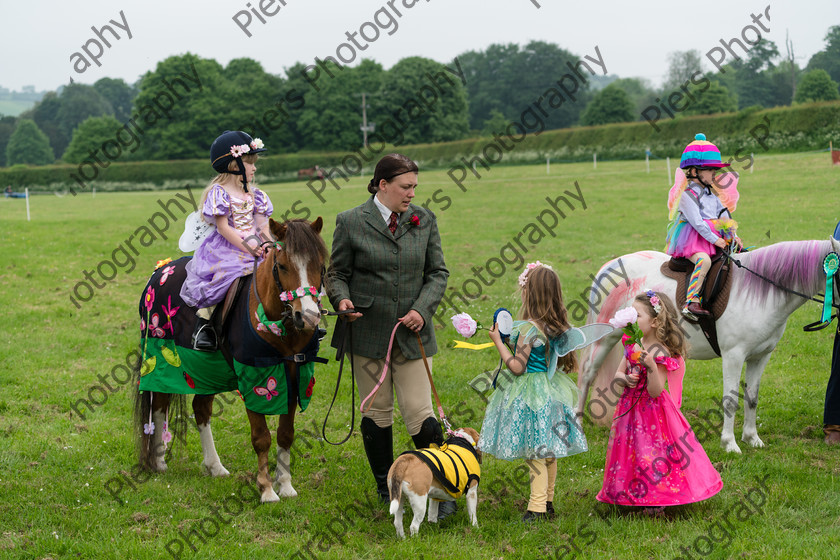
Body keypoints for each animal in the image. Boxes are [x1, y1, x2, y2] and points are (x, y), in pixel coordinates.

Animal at [576, 238, 836, 452]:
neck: (760, 292)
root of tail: (610, 265)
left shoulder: (761, 356)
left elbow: (752, 397)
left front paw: (752, 438)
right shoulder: (734, 356)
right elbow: (730, 399)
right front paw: (730, 444)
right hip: (606, 337)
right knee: (587, 374)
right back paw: (577, 425)